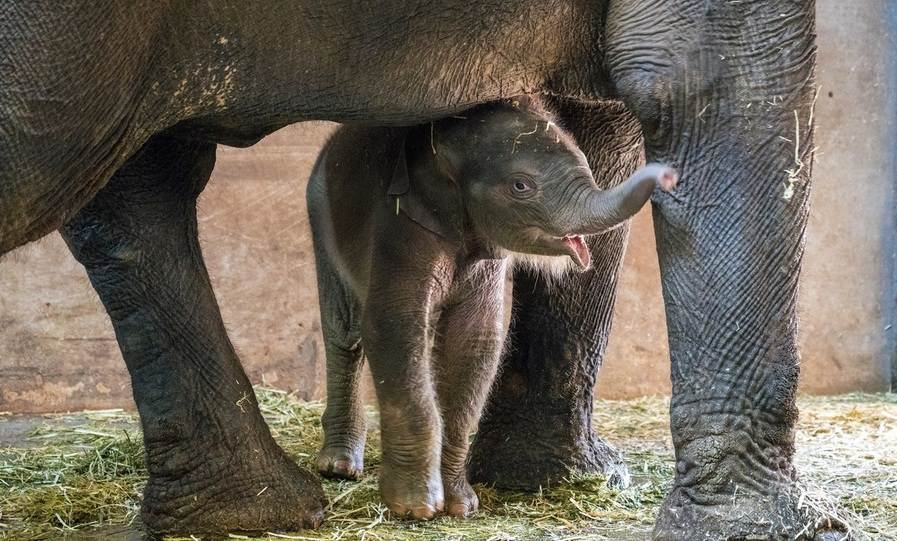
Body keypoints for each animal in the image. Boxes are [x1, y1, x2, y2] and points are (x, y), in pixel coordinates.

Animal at [304, 97, 676, 520]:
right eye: (521, 186)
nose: (668, 175)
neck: (441, 146)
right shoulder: (399, 227)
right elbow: (393, 327)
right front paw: (416, 508)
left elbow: (474, 342)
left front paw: (462, 506)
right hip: (320, 211)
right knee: (346, 330)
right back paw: (339, 466)